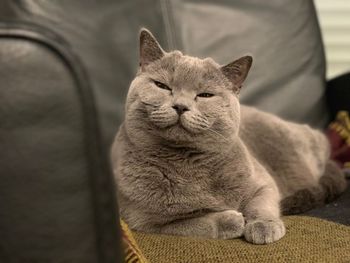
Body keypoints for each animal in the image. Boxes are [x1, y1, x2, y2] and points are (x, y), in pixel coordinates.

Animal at [110, 28, 348, 245]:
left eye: (205, 95)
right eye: (162, 86)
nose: (180, 106)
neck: (187, 163)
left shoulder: (264, 183)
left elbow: (261, 203)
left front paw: (264, 227)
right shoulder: (145, 221)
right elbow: (194, 223)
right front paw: (231, 220)